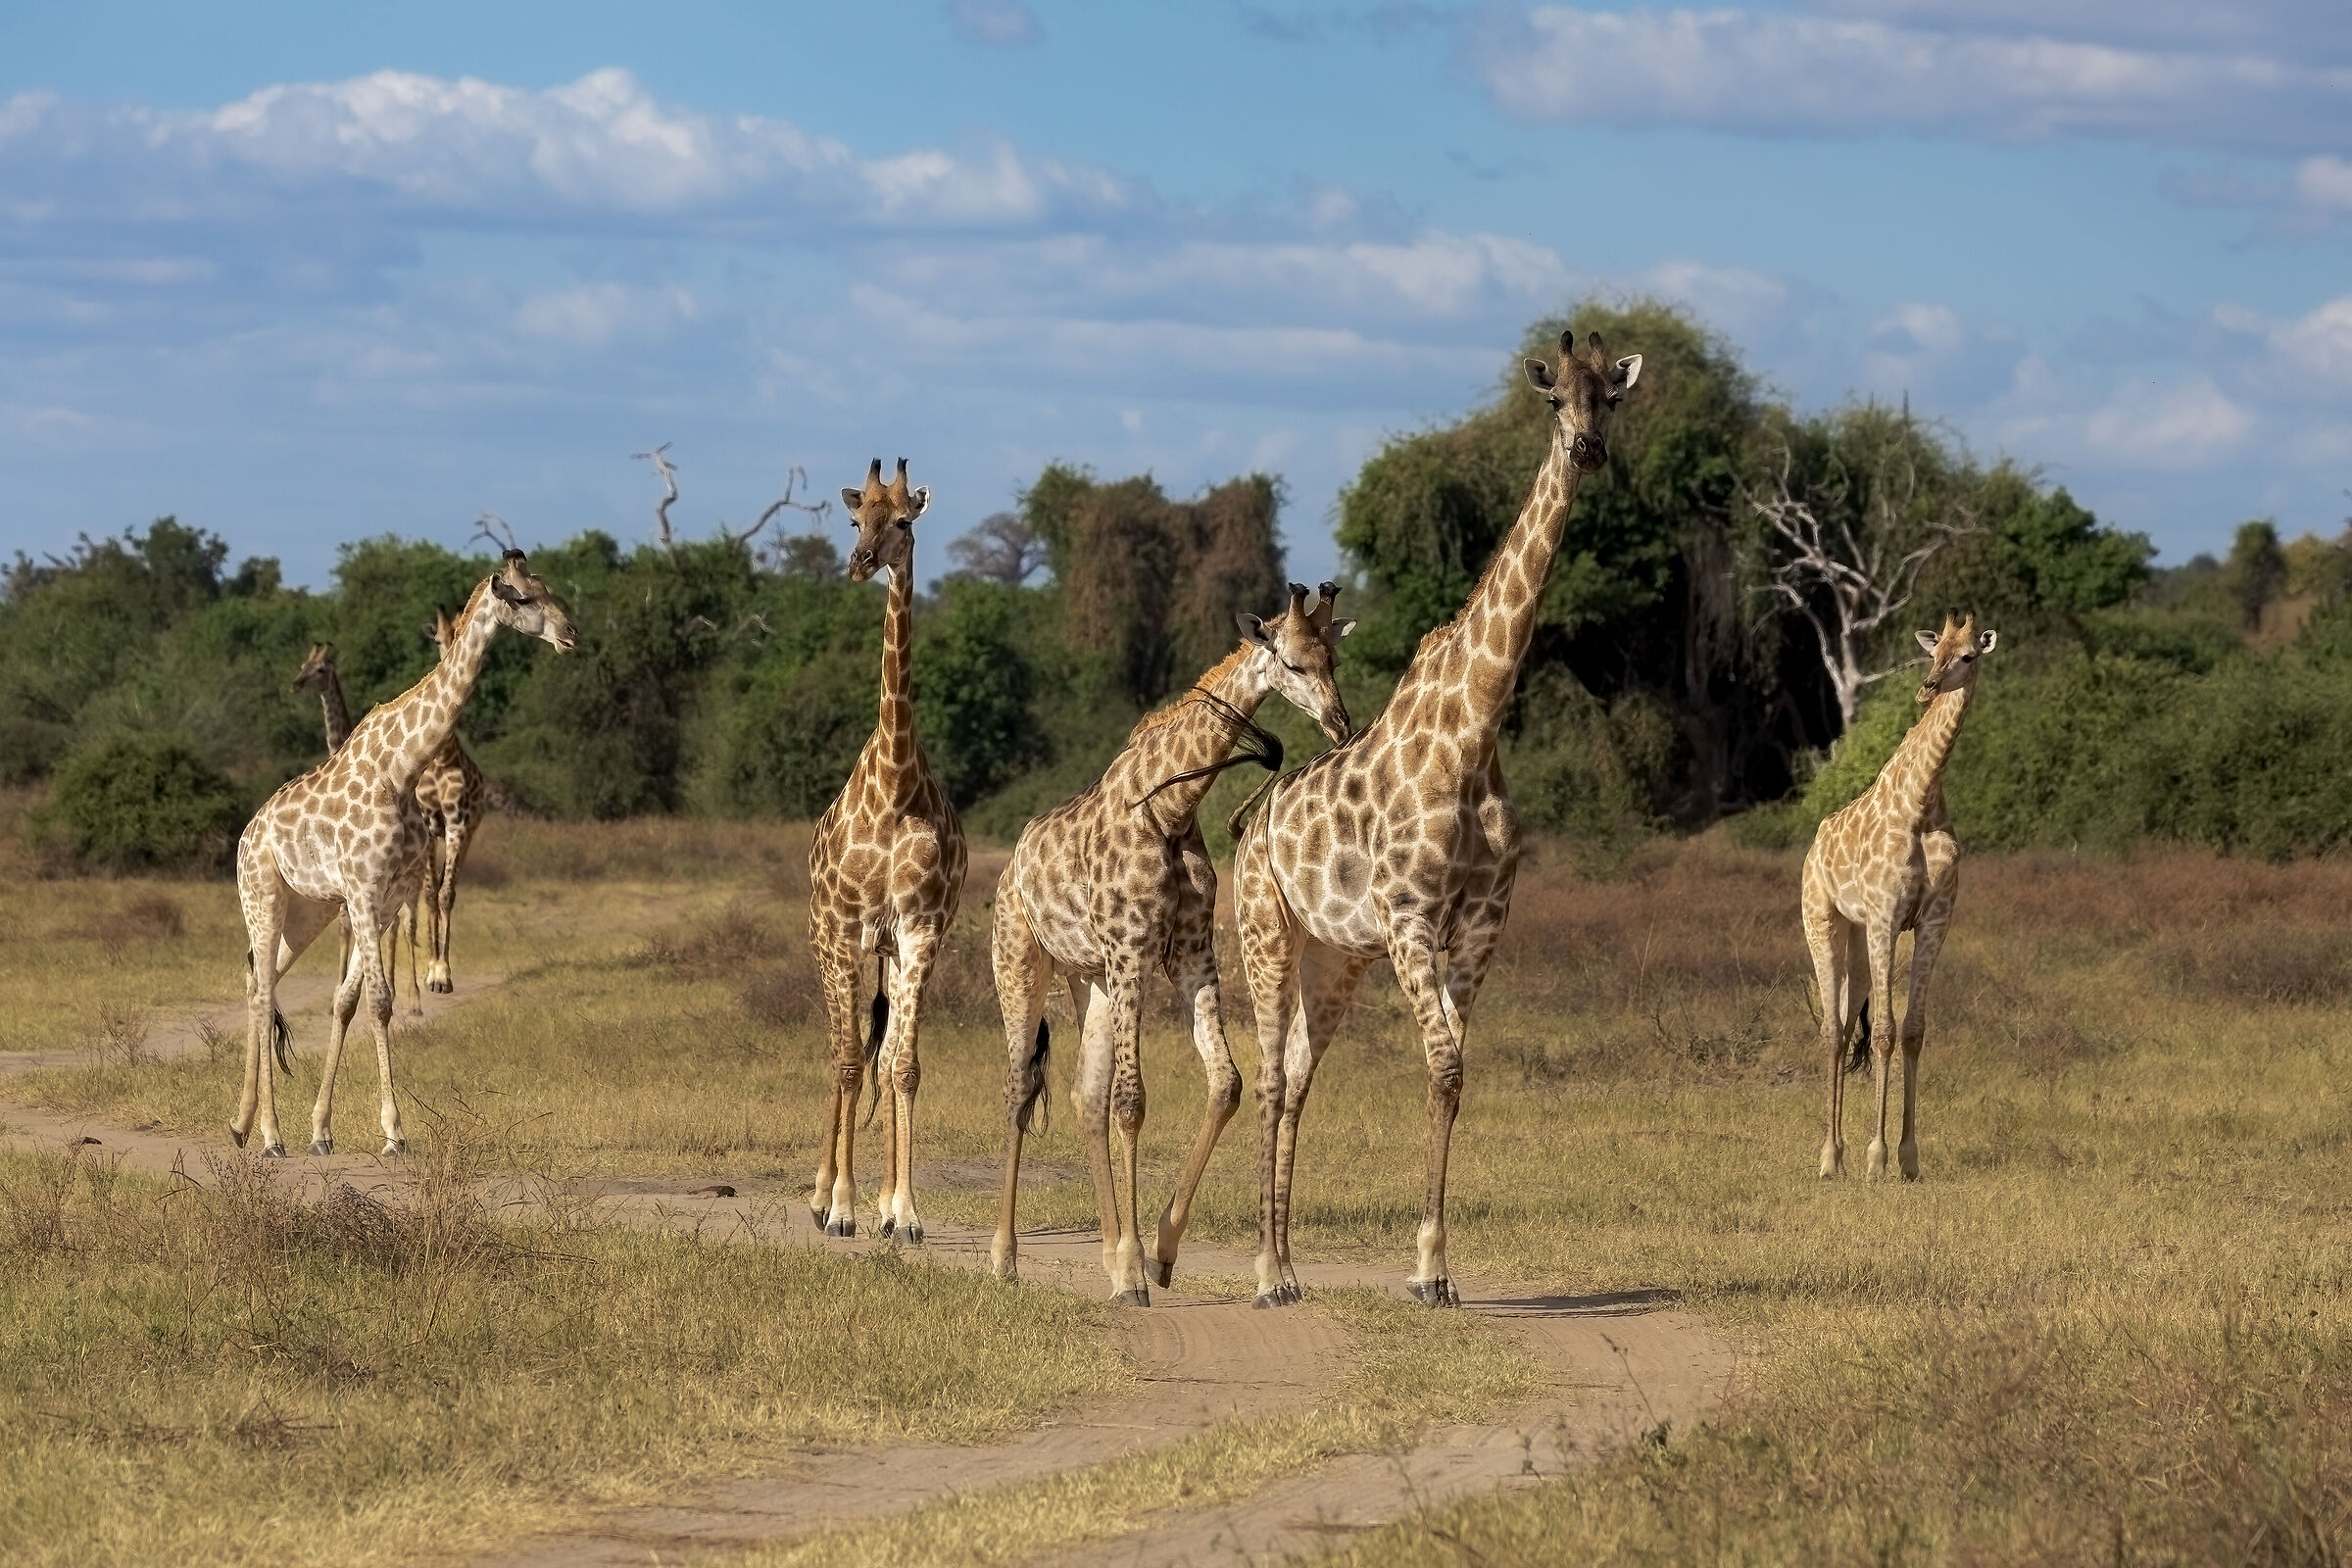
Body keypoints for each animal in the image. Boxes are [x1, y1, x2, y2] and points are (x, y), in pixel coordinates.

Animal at [231, 552, 575, 1158]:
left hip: (308, 912)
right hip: (263, 897)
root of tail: (246, 838)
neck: (403, 767)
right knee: (264, 985)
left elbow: (348, 1001)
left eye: (549, 589)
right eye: (524, 598)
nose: (570, 635)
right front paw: (393, 1132)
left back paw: (243, 1124)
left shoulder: (386, 899)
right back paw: (270, 1136)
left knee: (258, 984)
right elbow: (379, 1001)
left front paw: (322, 1130)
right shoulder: (364, 893)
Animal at [990, 583, 1356, 1303]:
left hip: (1092, 981)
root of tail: (1008, 871)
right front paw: (1137, 1270)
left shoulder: (1188, 954)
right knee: (1021, 1092)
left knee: (1083, 1096)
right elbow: (1133, 1103)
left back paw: (1108, 1254)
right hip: (1022, 961)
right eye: (1293, 662)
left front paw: (1157, 1251)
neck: (1170, 808)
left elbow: (1226, 1084)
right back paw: (1006, 1258)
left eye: (1333, 659)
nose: (1340, 723)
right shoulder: (1133, 949)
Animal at [1233, 329, 1641, 1309]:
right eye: (1552, 398)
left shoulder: (1482, 925)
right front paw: (1426, 1267)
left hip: (1335, 956)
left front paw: (1434, 1269)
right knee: (1265, 1076)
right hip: (1266, 931)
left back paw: (1291, 1266)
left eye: (1612, 398)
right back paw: (1263, 1274)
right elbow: (1445, 1063)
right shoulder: (1410, 918)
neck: (1474, 732)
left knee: (1296, 1074)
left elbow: (1451, 1073)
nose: (1587, 449)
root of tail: (1247, 822)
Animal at [1804, 610, 1996, 1182]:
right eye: (1932, 654)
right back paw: (1829, 1159)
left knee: (1848, 1026)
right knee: (1832, 1029)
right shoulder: (1887, 917)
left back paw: (1839, 1155)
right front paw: (1877, 1158)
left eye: (1968, 656)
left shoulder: (1933, 920)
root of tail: (1813, 846)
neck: (1922, 801)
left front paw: (1909, 1159)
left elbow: (1912, 1031)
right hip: (1822, 920)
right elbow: (1887, 1031)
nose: (1927, 687)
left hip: (1858, 935)